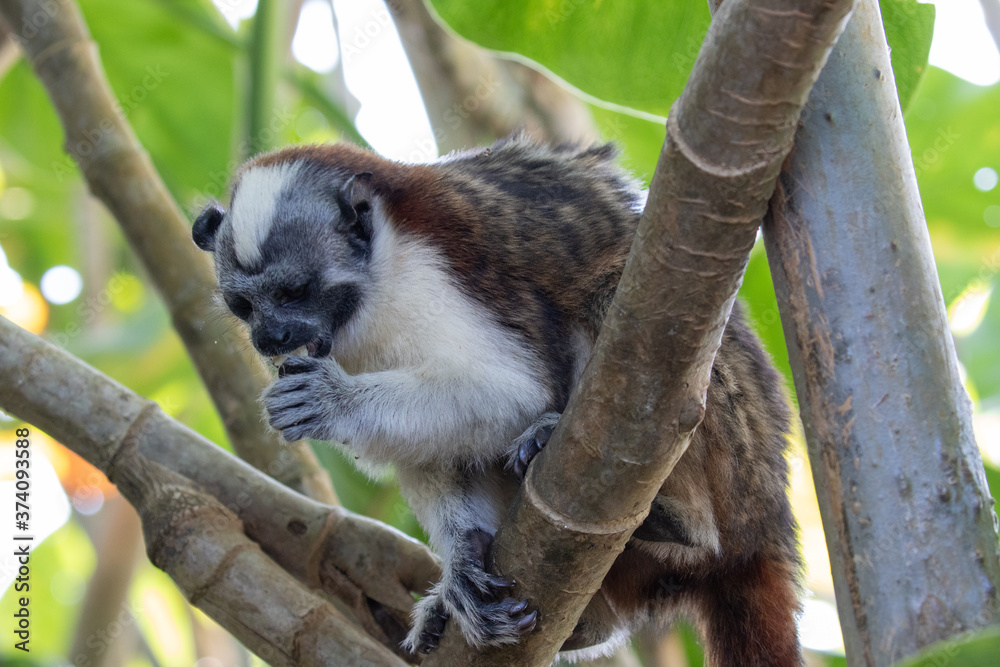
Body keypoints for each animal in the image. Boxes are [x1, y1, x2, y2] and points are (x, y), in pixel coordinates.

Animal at [191, 136, 802, 665]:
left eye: (293, 292)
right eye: (245, 307)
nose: (268, 338)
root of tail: (765, 522)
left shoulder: (428, 277)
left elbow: (513, 391)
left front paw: (329, 401)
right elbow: (431, 454)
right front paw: (462, 562)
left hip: (734, 452)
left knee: (616, 296)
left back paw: (676, 519)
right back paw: (585, 623)